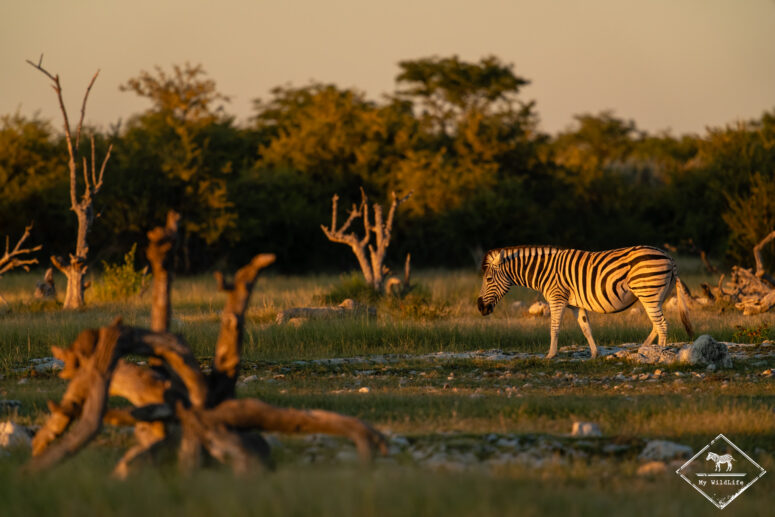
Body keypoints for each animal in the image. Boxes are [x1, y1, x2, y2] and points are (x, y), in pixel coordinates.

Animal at [477, 245, 694, 359]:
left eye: (488, 279)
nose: (480, 307)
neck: (544, 271)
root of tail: (669, 257)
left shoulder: (557, 298)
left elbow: (554, 327)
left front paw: (550, 355)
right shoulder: (575, 304)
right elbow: (585, 327)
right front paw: (594, 355)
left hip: (648, 293)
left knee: (662, 325)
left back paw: (658, 355)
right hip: (654, 296)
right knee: (656, 325)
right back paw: (644, 349)